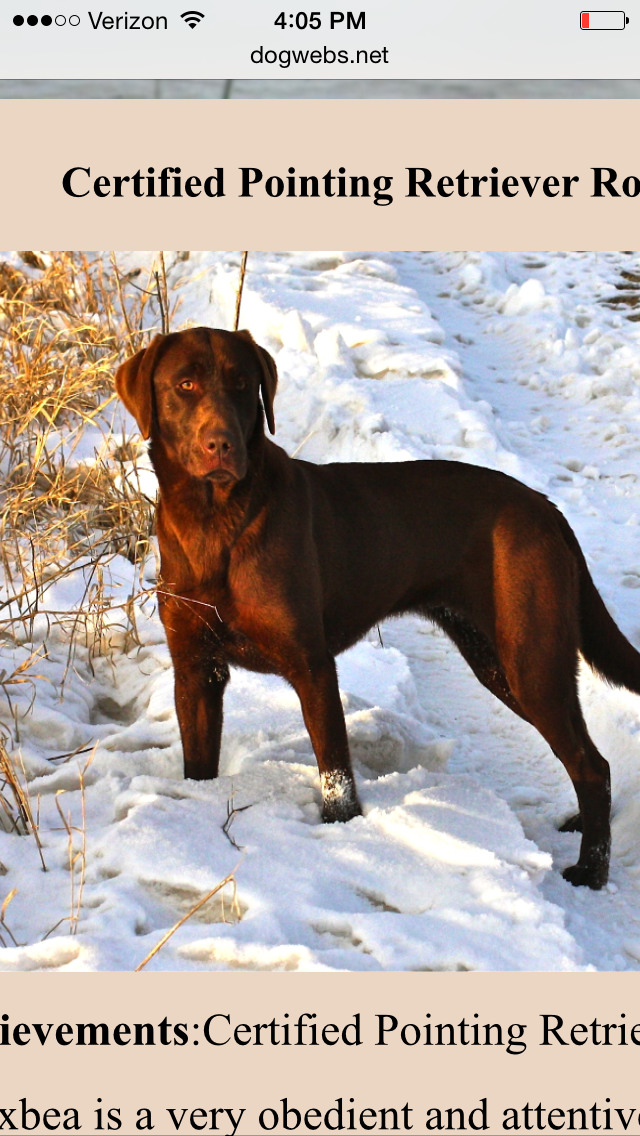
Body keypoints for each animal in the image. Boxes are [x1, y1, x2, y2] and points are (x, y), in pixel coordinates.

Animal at [117, 324, 640, 890]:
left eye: (240, 382)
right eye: (185, 384)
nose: (221, 444)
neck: (214, 522)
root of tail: (547, 508)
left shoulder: (311, 665)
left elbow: (335, 774)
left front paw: (345, 836)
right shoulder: (196, 670)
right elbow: (199, 765)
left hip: (531, 660)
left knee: (592, 765)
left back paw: (591, 870)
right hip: (496, 659)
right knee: (588, 757)